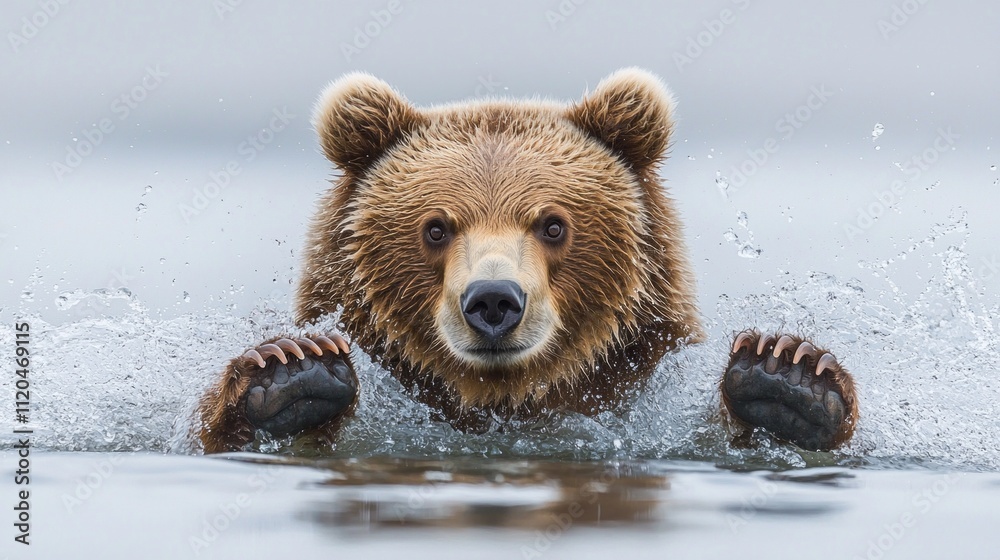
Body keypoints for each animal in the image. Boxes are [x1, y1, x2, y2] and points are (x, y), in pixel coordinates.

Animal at [196, 68, 858, 455]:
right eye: (436, 227)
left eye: (553, 224)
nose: (493, 300)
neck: (506, 402)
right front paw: (288, 369)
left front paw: (789, 374)